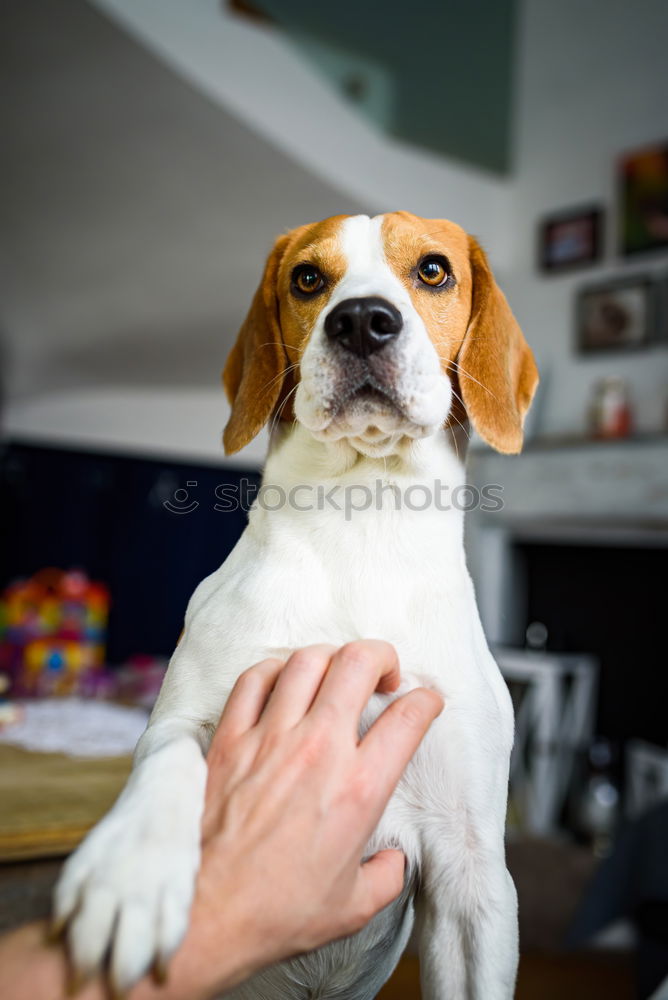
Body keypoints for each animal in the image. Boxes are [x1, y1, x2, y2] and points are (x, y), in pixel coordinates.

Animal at [54, 213, 540, 1000]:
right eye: (308, 278)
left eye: (434, 270)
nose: (363, 321)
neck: (362, 521)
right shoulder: (181, 721)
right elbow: (171, 765)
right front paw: (131, 872)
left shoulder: (474, 872)